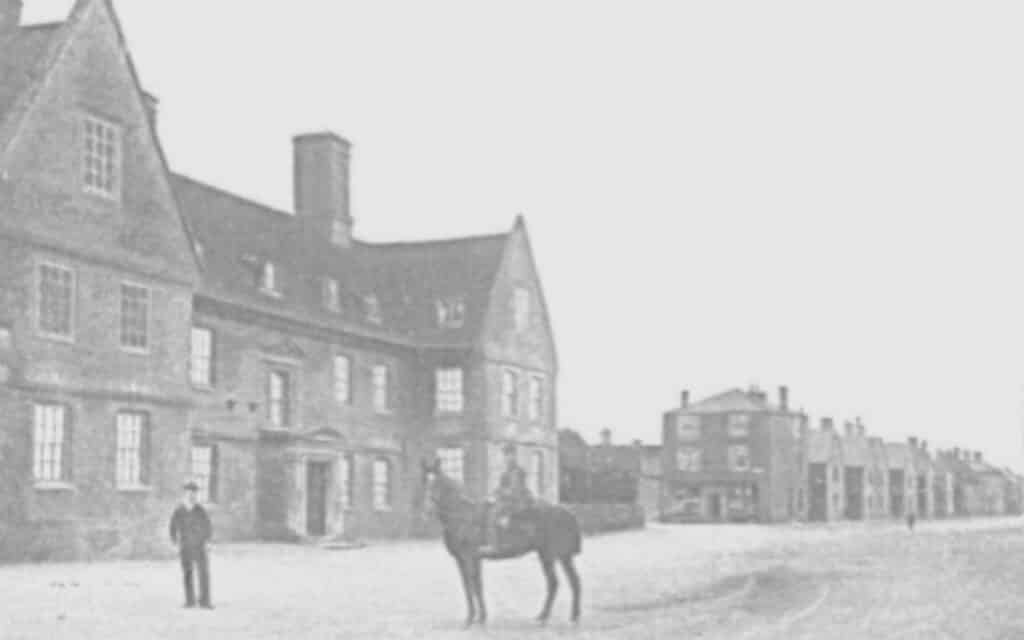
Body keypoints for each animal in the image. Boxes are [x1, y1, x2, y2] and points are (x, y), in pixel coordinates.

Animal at [419, 456, 585, 626]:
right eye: (425, 482)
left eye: (438, 483)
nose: (427, 511)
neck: (463, 516)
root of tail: (565, 511)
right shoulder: (462, 560)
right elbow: (470, 587)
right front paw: (475, 617)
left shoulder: (471, 558)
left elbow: (474, 586)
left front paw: (477, 617)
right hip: (554, 556)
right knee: (566, 582)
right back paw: (557, 616)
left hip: (555, 556)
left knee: (562, 582)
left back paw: (558, 617)